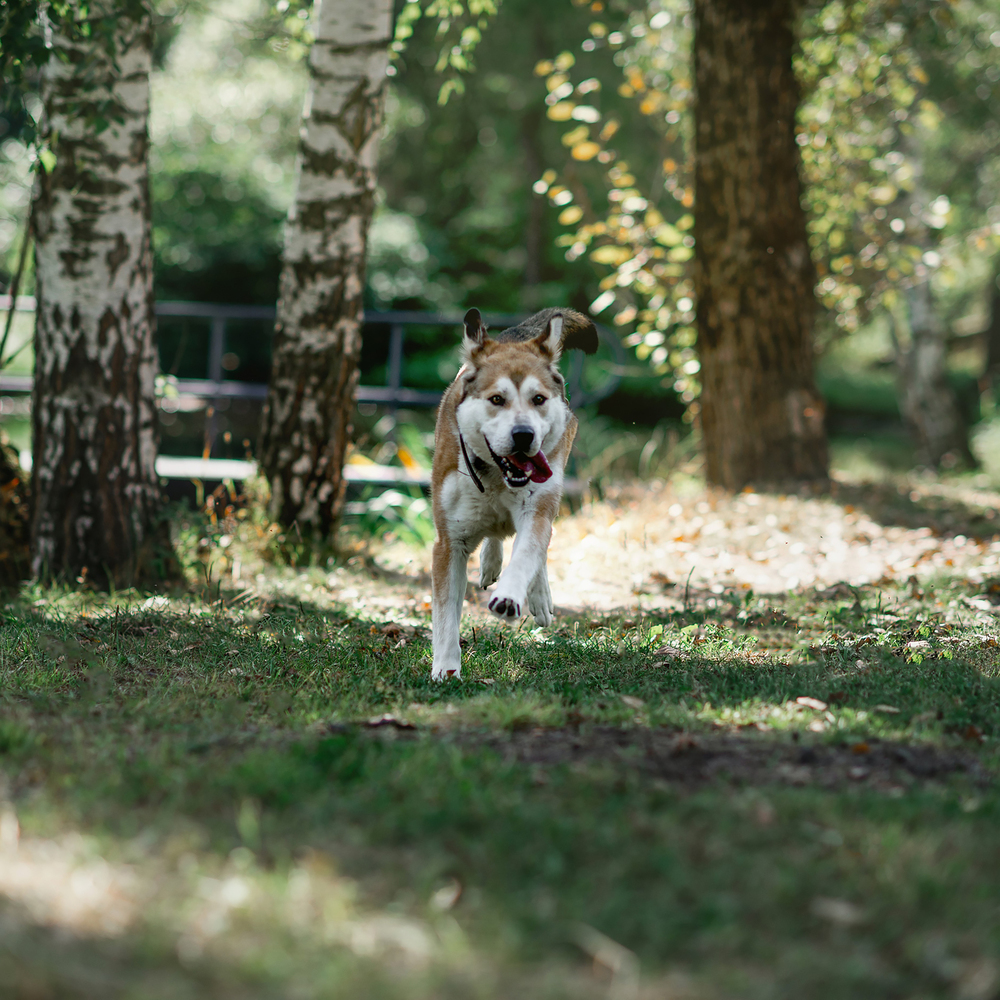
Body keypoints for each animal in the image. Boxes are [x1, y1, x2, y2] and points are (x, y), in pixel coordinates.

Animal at [428, 306, 592, 680]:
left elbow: (527, 555)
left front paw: (511, 597)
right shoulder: (449, 543)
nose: (523, 434)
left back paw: (538, 595)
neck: (497, 479)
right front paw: (446, 668)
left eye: (538, 399)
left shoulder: (537, 510)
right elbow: (446, 614)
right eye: (496, 400)